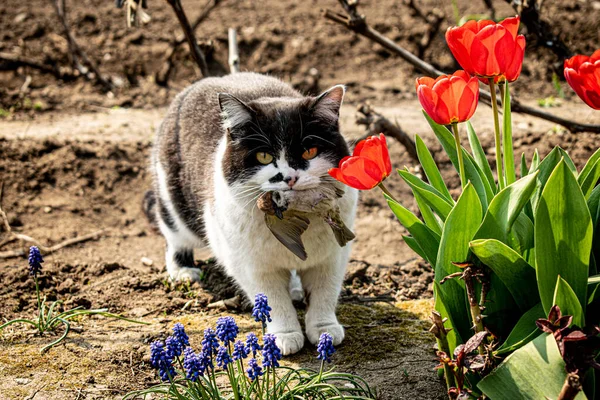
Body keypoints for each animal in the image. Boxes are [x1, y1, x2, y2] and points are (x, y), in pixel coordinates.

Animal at [146, 72, 358, 354]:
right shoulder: (252, 264)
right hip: (174, 201)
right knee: (174, 235)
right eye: (264, 156)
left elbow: (325, 292)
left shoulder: (332, 257)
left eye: (309, 151)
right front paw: (285, 335)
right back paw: (183, 270)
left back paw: (295, 288)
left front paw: (324, 330)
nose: (289, 178)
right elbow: (272, 300)